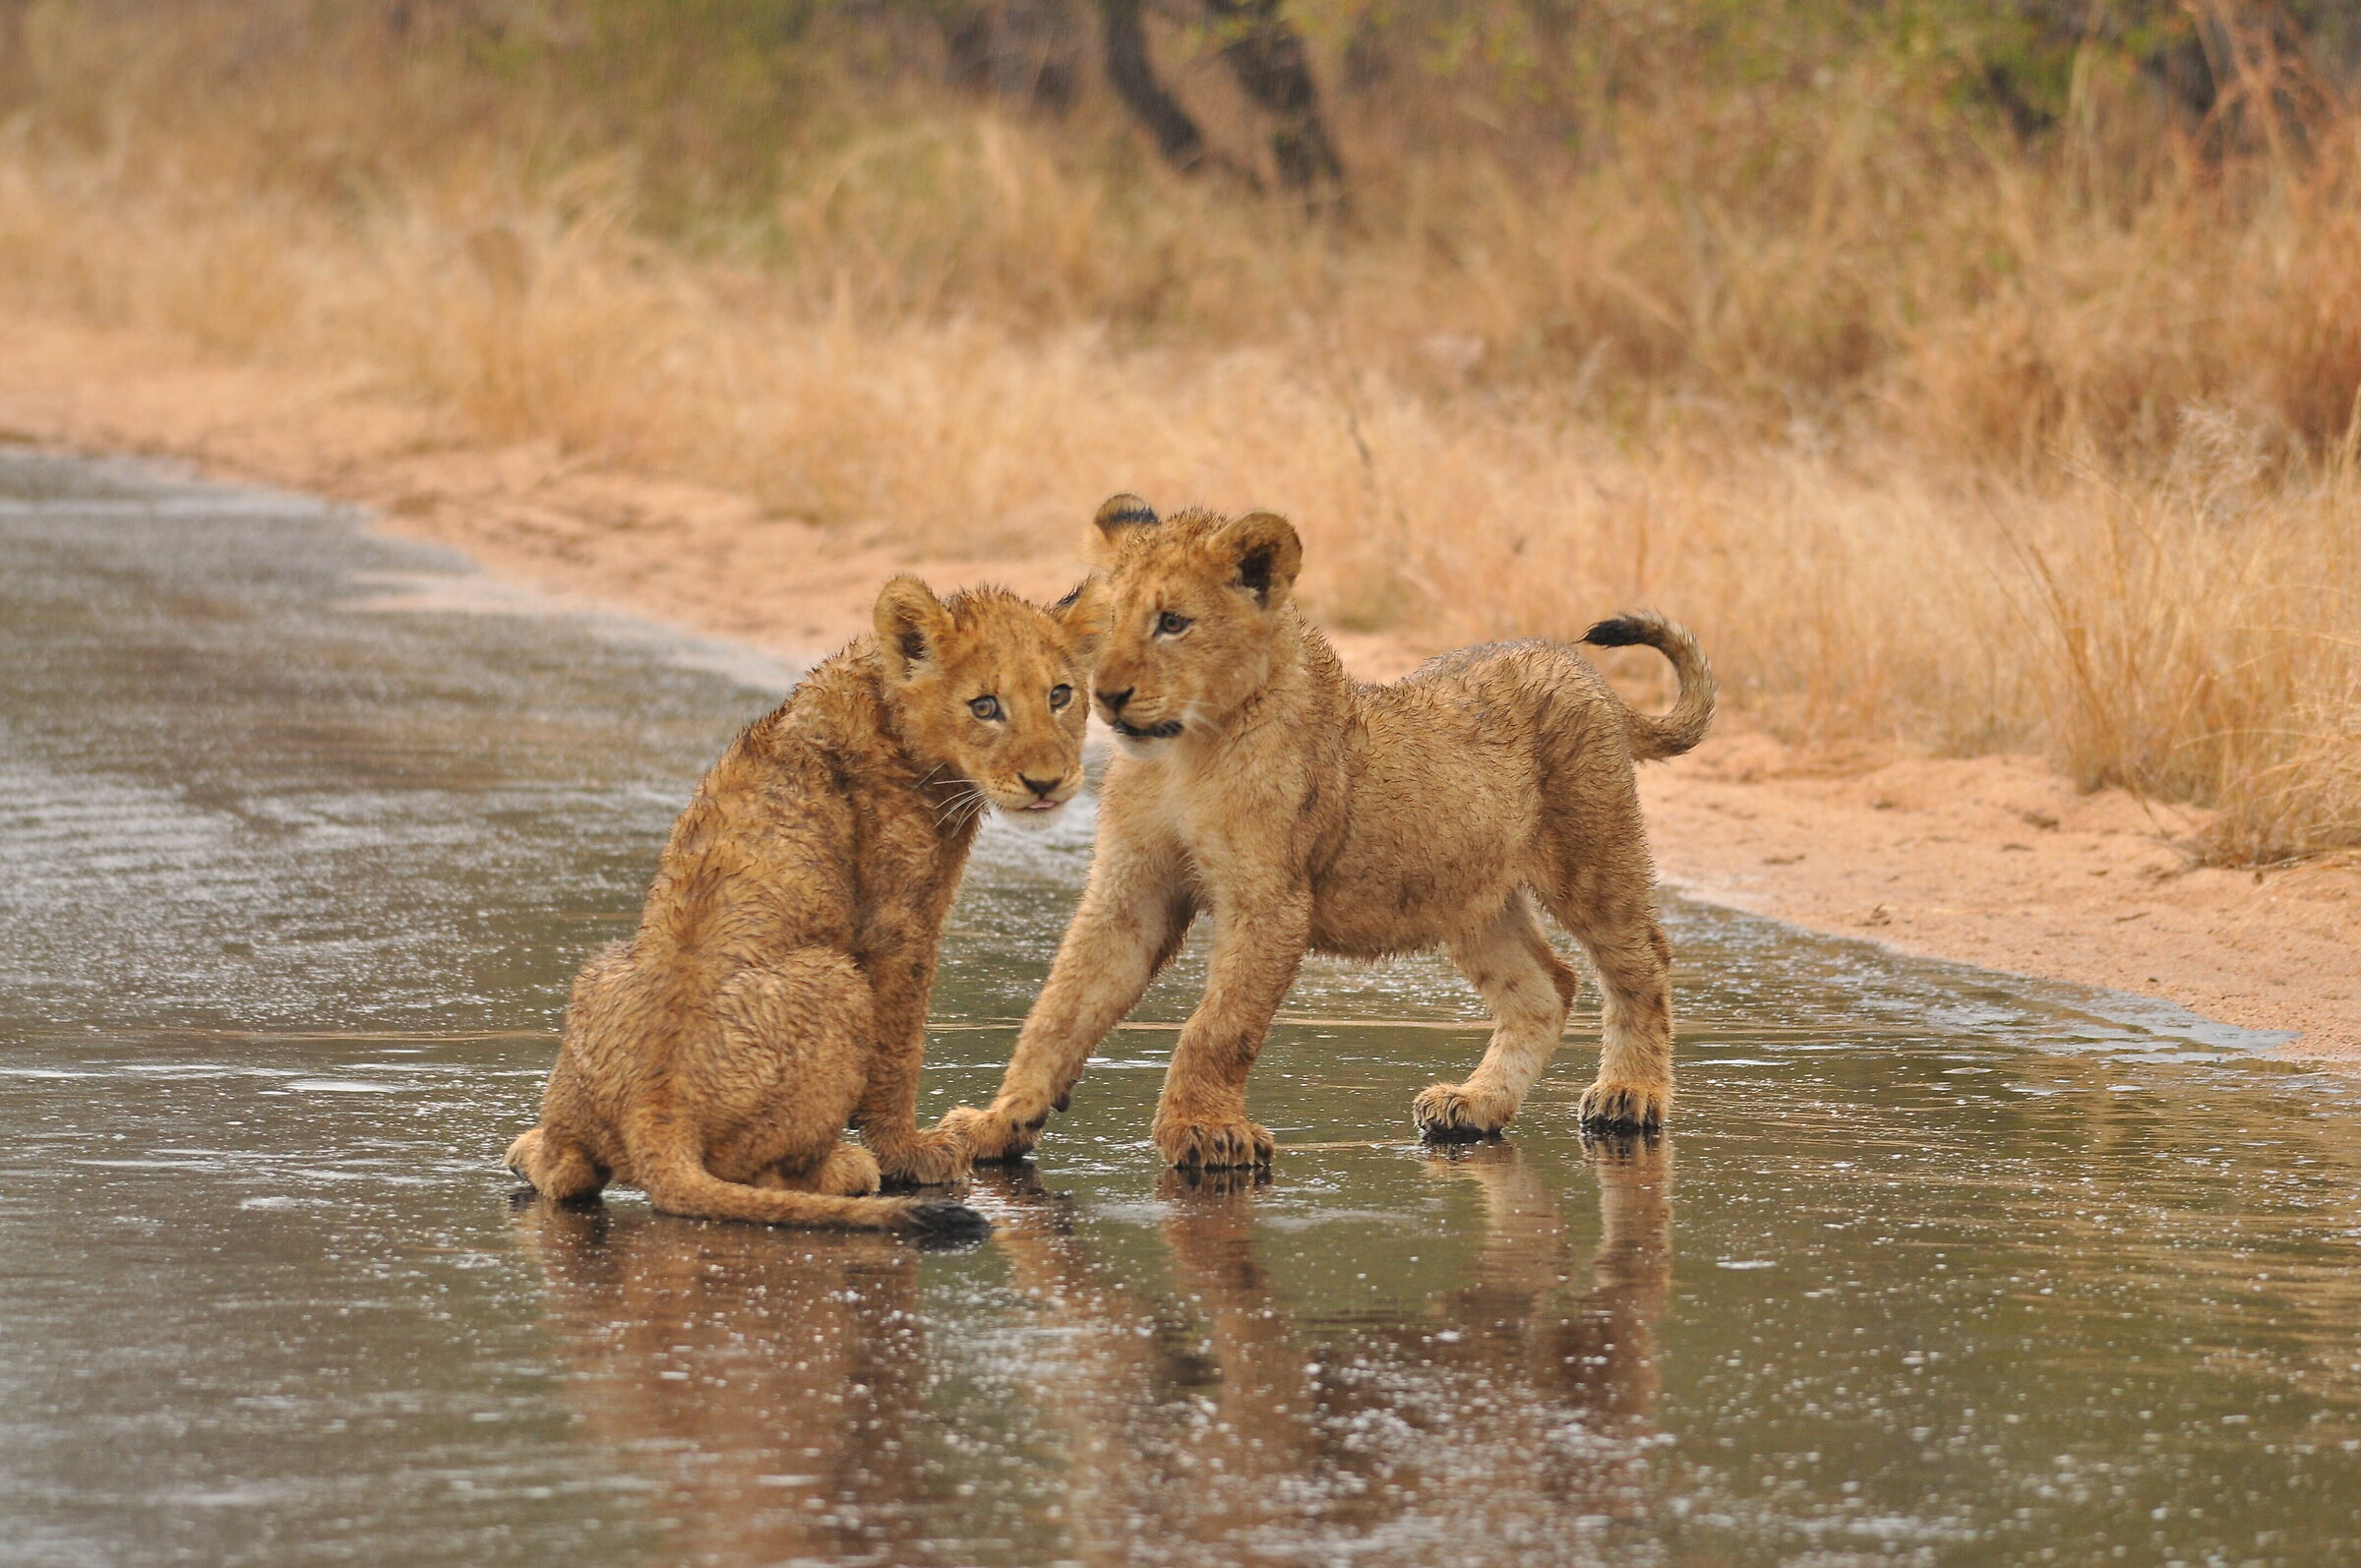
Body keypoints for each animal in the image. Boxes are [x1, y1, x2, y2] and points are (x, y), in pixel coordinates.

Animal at [505, 576, 1103, 1232]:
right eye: (985, 706)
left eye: (1060, 695)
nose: (1046, 783)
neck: (883, 702)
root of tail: (657, 1115)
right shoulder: (900, 925)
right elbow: (898, 1053)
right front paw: (910, 1154)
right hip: (836, 977)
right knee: (764, 1177)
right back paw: (849, 1167)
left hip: (601, 969)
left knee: (566, 1172)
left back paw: (527, 1149)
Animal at [938, 496, 1712, 1170]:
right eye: (1108, 621)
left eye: (1173, 622)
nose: (1106, 695)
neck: (1186, 751)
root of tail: (1585, 672)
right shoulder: (1134, 892)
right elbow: (1060, 1011)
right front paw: (996, 1123)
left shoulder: (1271, 901)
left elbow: (1218, 1027)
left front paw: (1205, 1133)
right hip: (1468, 897)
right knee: (1544, 986)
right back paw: (1475, 1105)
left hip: (1592, 855)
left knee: (1642, 964)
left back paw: (1630, 1095)